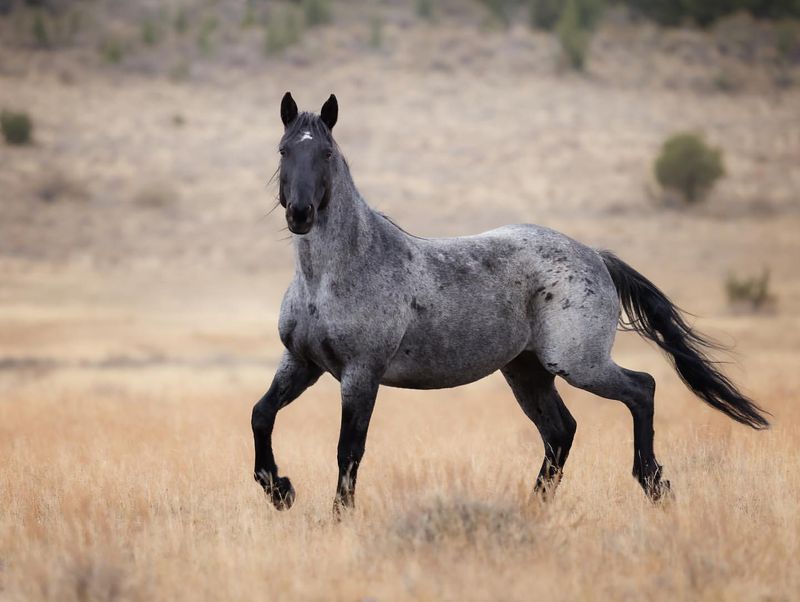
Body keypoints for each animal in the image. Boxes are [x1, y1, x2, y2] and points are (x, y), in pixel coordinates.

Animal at [251, 92, 769, 513]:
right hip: (527, 371)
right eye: (283, 150)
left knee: (641, 390)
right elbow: (262, 415)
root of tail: (594, 255)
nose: (300, 214)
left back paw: (652, 482)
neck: (332, 275)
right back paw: (535, 506)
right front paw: (280, 491)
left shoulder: (360, 374)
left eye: (325, 152)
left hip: (577, 364)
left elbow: (348, 450)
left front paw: (337, 517)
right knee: (561, 431)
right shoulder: (302, 363)